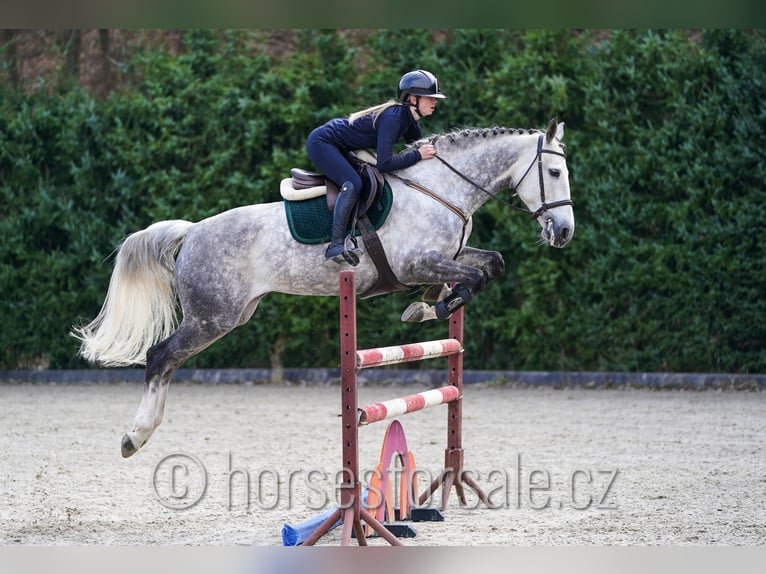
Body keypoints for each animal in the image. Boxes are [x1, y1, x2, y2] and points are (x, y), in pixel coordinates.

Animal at [72, 118, 574, 458]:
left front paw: (429, 306)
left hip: (225, 316)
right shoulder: (417, 263)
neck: (441, 188)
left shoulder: (445, 257)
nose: (564, 232)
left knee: (168, 362)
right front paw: (432, 306)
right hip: (213, 317)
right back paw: (135, 436)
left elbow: (491, 264)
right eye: (554, 174)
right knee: (160, 357)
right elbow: (471, 279)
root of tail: (192, 231)